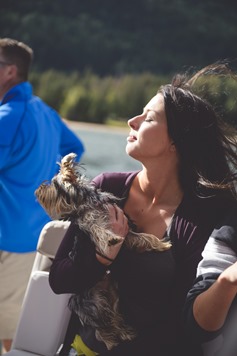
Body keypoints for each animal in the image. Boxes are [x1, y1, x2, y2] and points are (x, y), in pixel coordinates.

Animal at [34, 152, 170, 350]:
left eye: (53, 184)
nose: (39, 188)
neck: (86, 202)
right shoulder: (91, 225)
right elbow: (100, 232)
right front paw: (110, 238)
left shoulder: (127, 231)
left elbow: (143, 237)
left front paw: (161, 244)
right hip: (94, 302)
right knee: (102, 326)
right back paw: (112, 341)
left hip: (113, 298)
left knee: (113, 317)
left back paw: (125, 333)